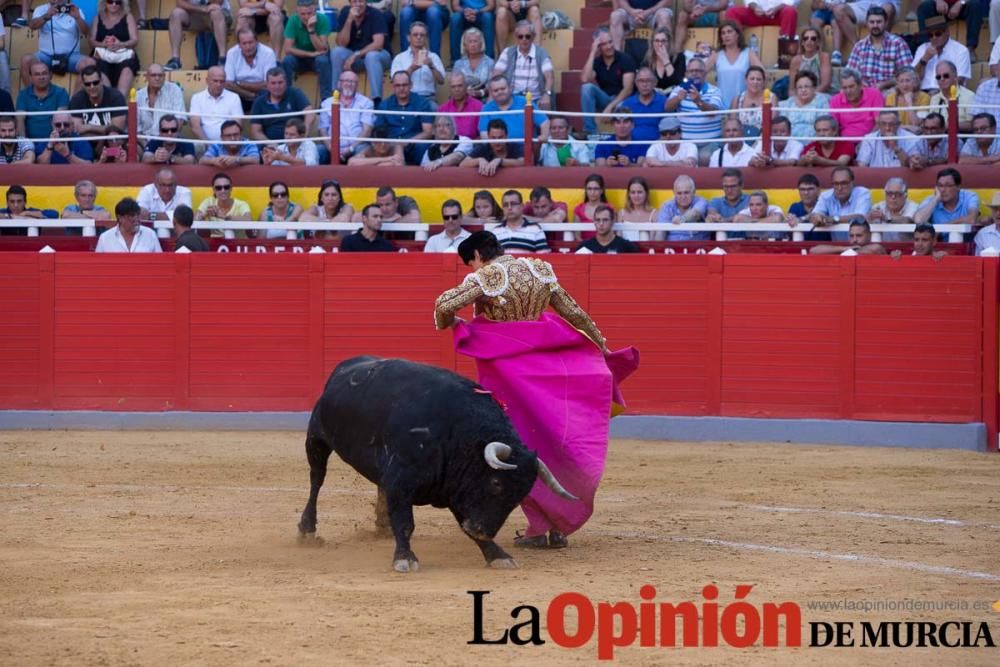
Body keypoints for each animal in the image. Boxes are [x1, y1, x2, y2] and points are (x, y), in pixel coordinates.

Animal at [294, 358, 580, 572]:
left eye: (521, 495)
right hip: (316, 439)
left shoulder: (457, 490)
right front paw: (405, 558)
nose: (483, 530)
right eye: (496, 483)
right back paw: (307, 530)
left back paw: (382, 526)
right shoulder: (401, 481)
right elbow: (405, 522)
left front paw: (496, 554)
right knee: (316, 479)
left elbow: (461, 523)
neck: (456, 434)